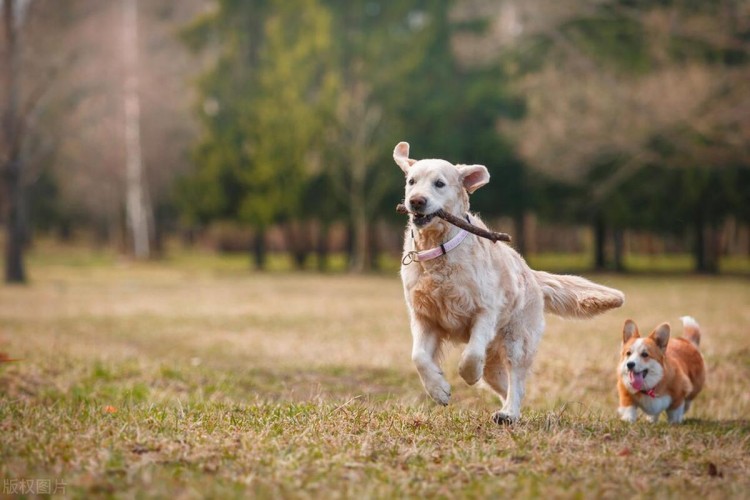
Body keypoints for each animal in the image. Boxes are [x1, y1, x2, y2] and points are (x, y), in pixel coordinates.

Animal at [396, 143, 624, 424]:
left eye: (439, 183)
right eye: (411, 181)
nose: (416, 201)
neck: (439, 249)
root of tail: (532, 274)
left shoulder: (485, 310)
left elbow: (471, 355)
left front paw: (467, 374)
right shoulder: (424, 317)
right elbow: (418, 357)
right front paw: (438, 389)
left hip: (517, 341)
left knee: (516, 380)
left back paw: (509, 412)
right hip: (496, 361)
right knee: (509, 386)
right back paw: (510, 411)